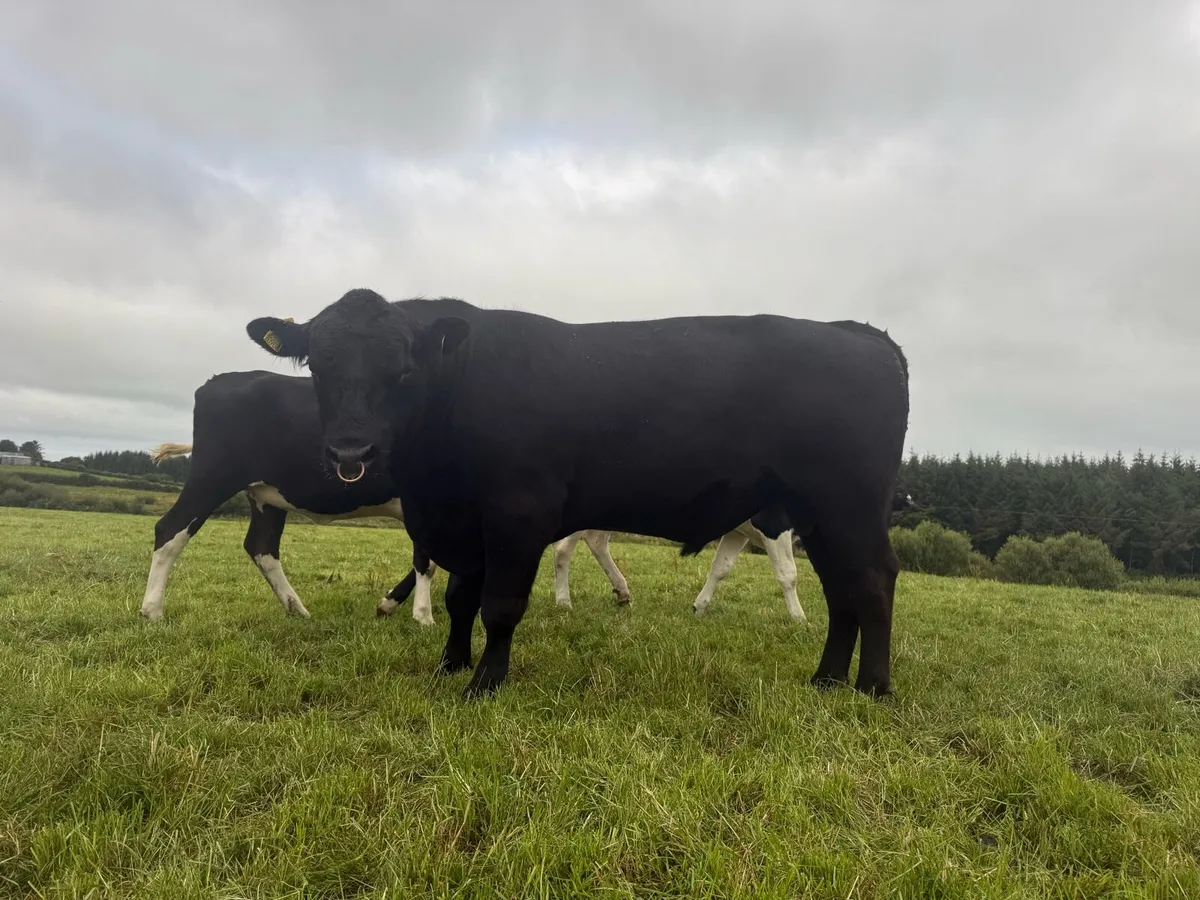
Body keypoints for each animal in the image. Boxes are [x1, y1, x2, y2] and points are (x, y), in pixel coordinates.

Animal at [245, 289, 910, 700]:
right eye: (320, 367)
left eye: (403, 369)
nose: (349, 452)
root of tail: (859, 333)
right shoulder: (459, 522)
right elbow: (460, 599)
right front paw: (449, 665)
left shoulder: (517, 514)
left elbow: (500, 605)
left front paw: (483, 684)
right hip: (819, 515)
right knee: (842, 590)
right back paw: (826, 679)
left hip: (849, 505)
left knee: (873, 581)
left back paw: (872, 687)